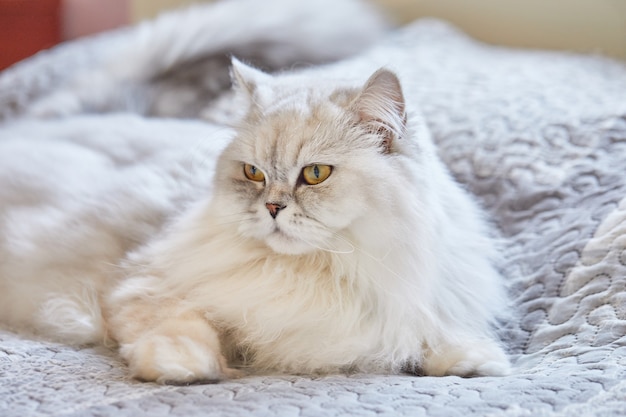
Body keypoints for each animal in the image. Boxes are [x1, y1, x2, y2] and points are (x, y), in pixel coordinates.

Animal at [96, 60, 508, 382]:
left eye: (315, 174)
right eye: (253, 173)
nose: (272, 207)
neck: (320, 273)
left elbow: (430, 333)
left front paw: (474, 360)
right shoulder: (147, 281)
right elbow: (181, 324)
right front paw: (183, 366)